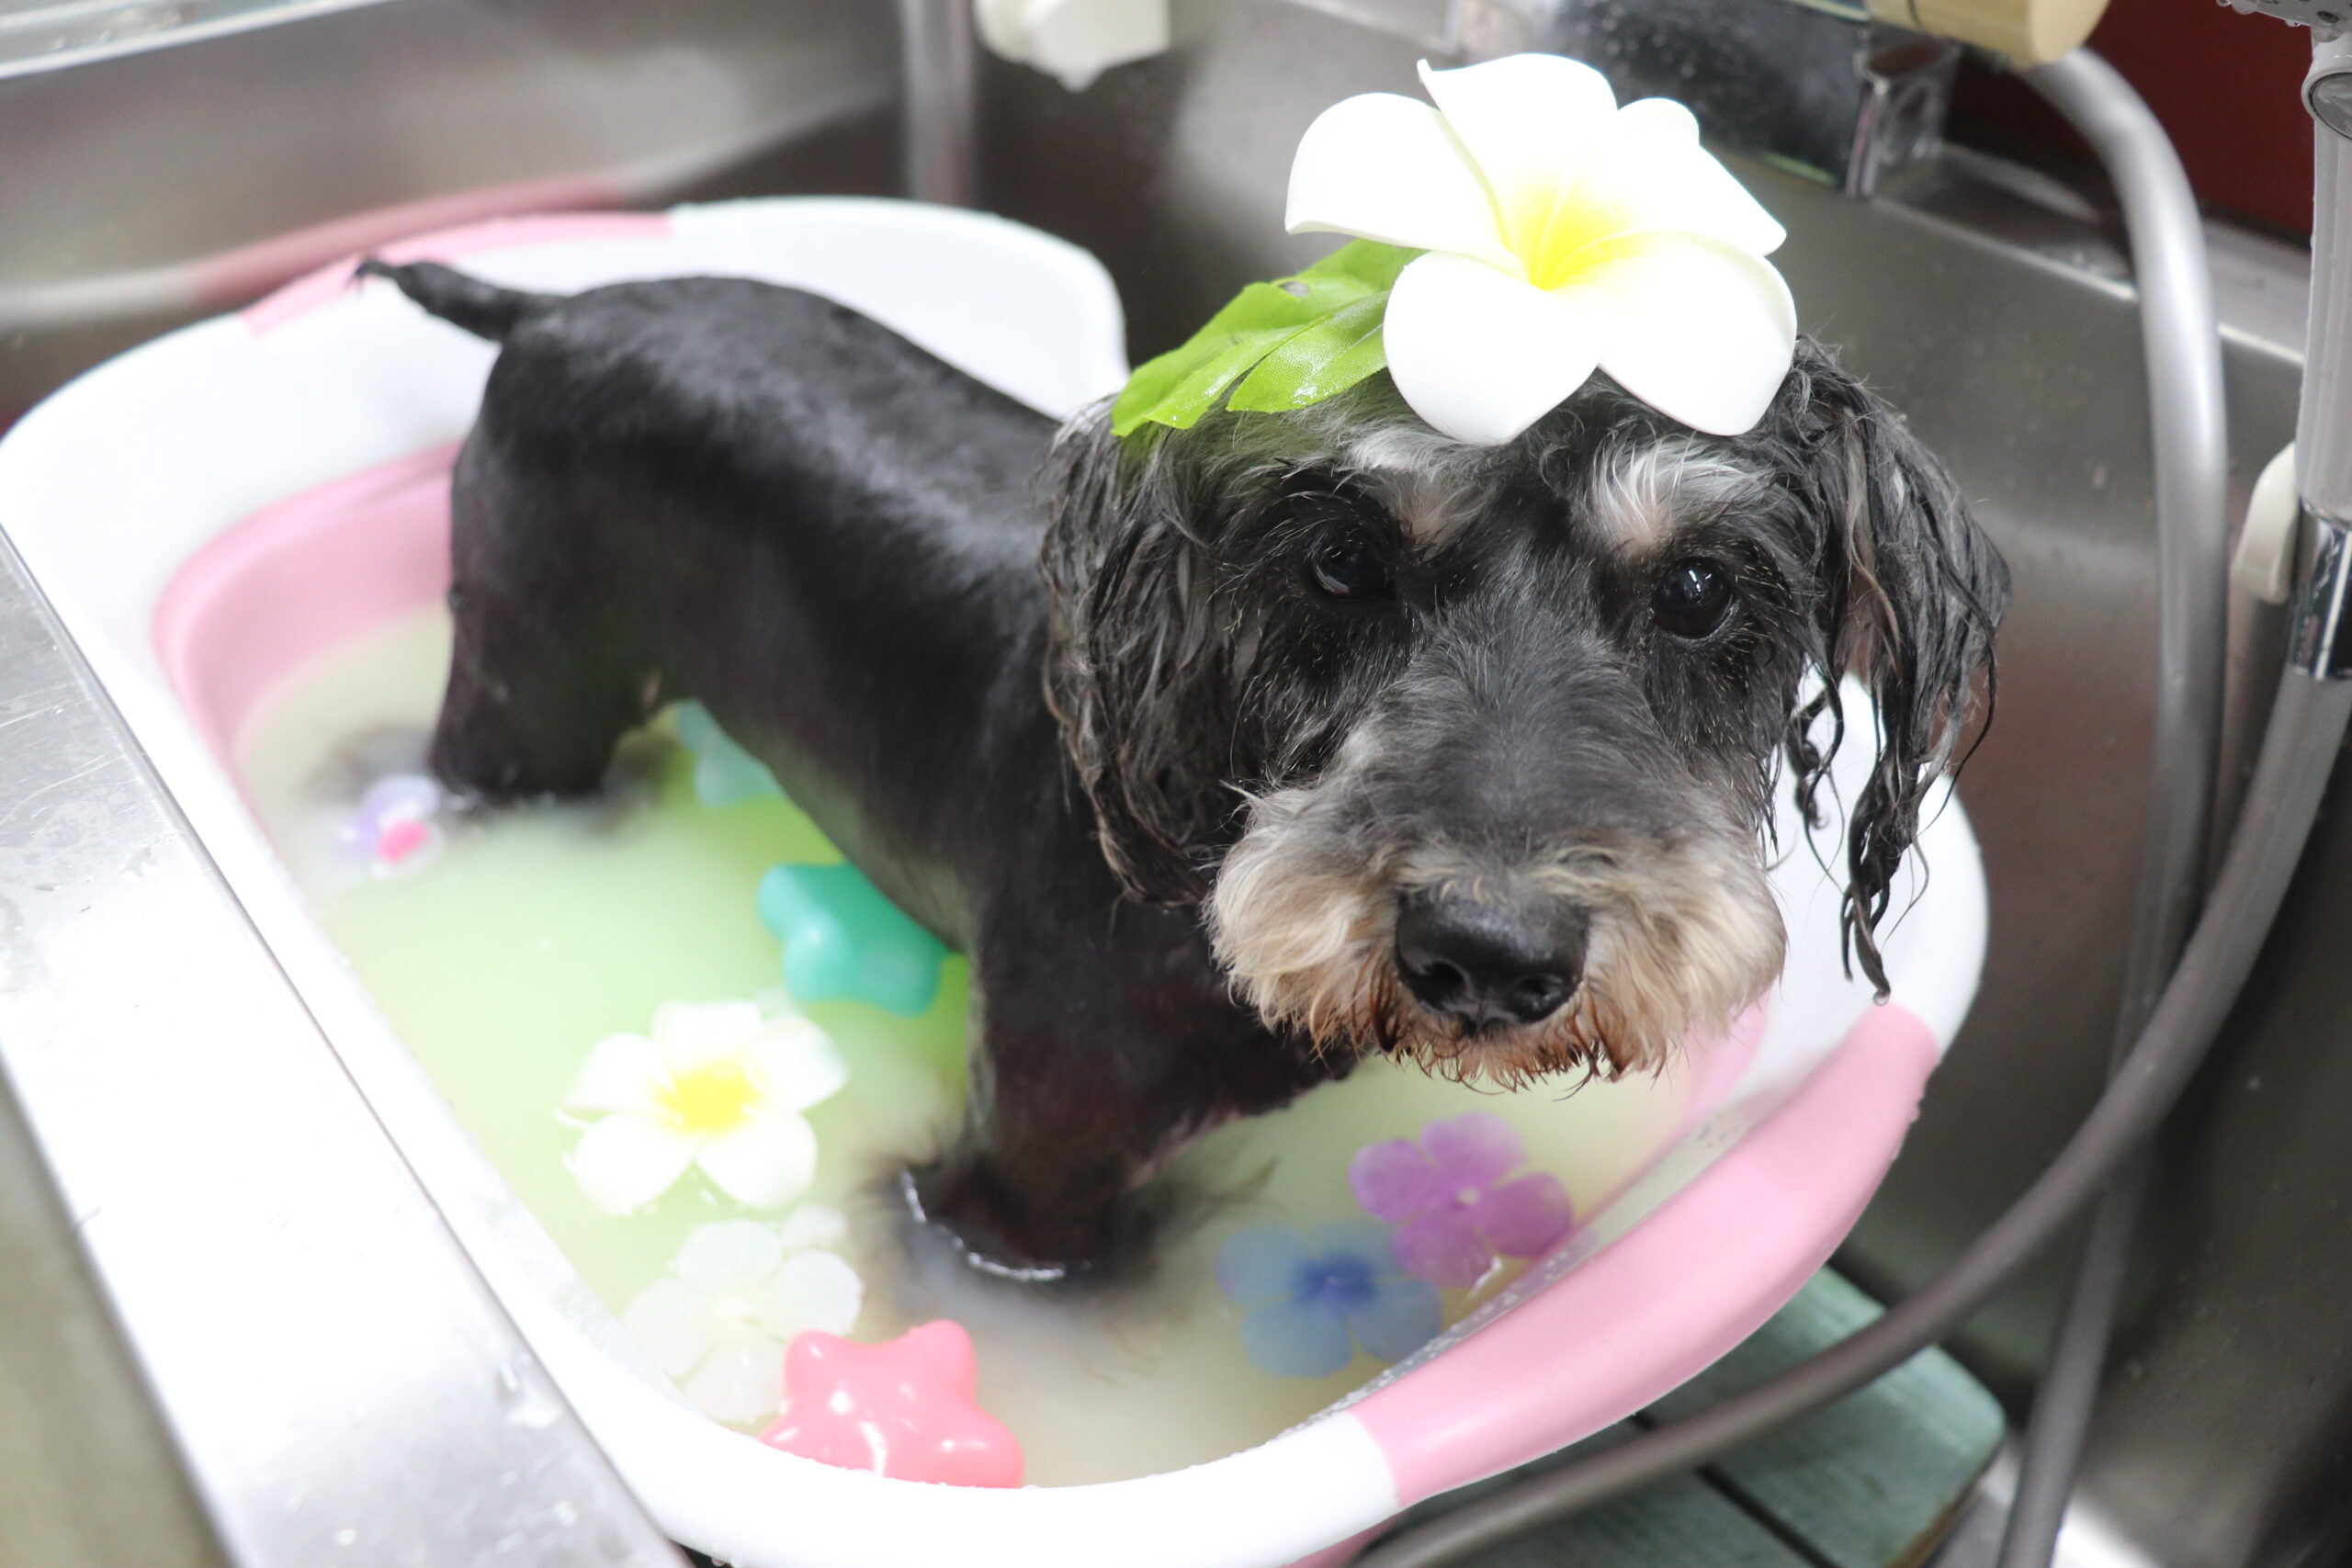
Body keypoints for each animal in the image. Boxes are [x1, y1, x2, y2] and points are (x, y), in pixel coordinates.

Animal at [366, 258, 2007, 1282]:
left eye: (1700, 590)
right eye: (1338, 556)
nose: (1486, 951)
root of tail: (552, 299)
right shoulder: (1025, 1178)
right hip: (526, 683)